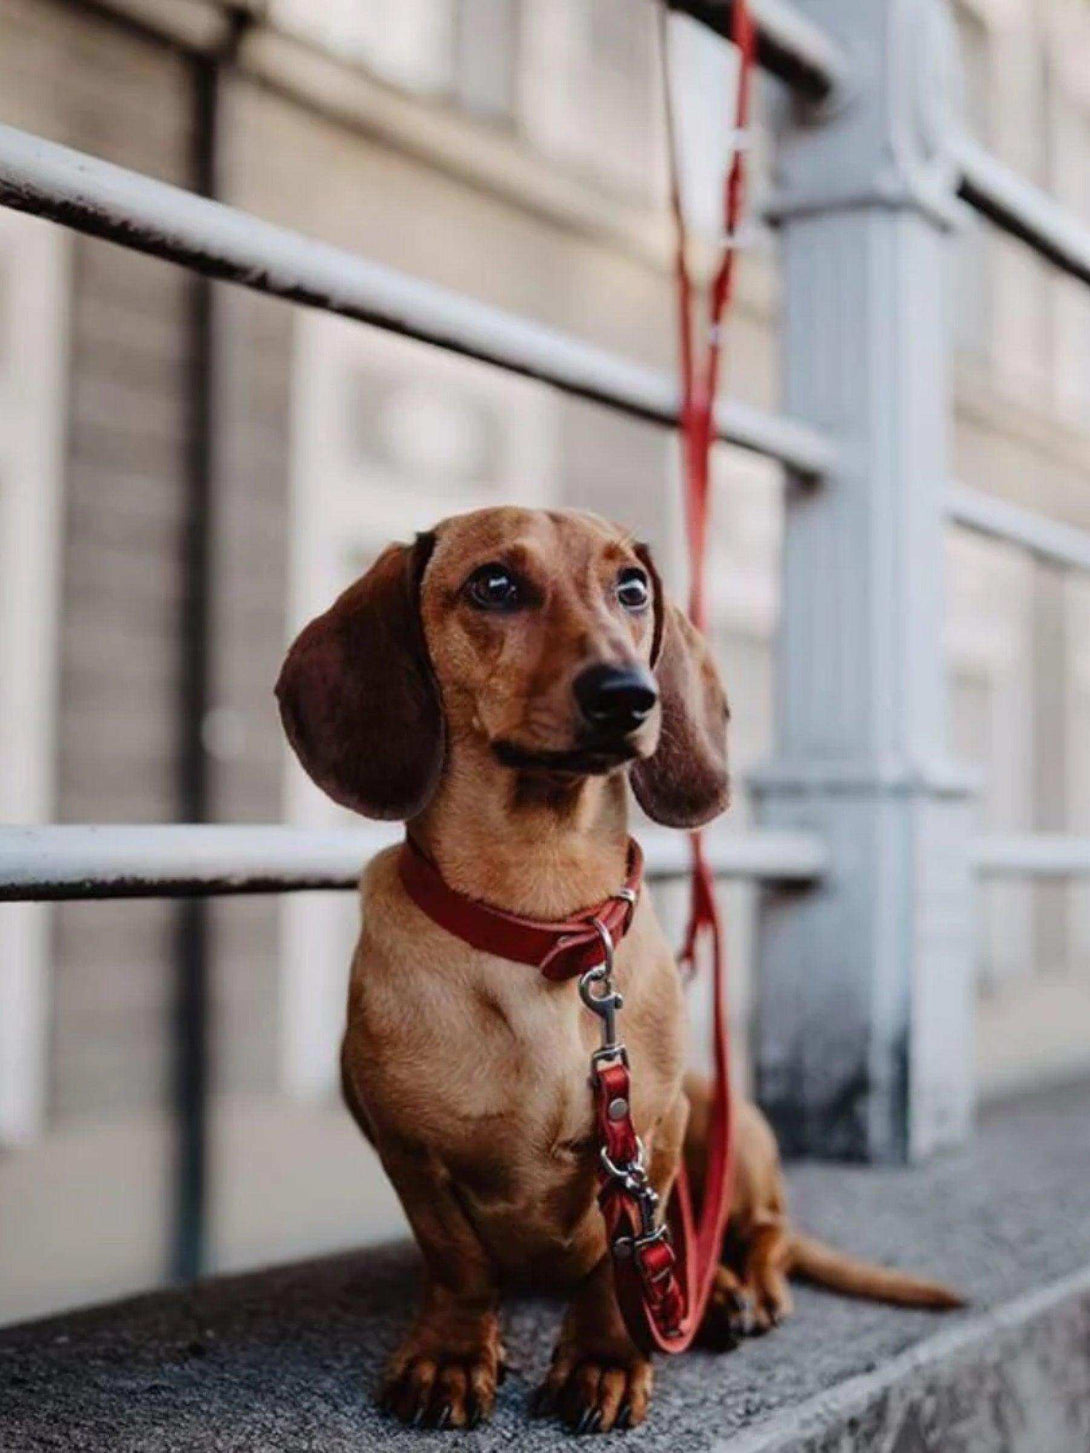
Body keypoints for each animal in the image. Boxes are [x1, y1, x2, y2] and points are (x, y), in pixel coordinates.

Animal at [277, 505, 959, 1435]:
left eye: (631, 587)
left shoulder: (654, 1136)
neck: (540, 914)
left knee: (765, 1231)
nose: (629, 694)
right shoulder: (411, 1152)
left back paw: (736, 1292)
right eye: (494, 583)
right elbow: (458, 1264)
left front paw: (603, 1358)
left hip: (729, 1119)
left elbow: (619, 1265)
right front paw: (453, 1352)